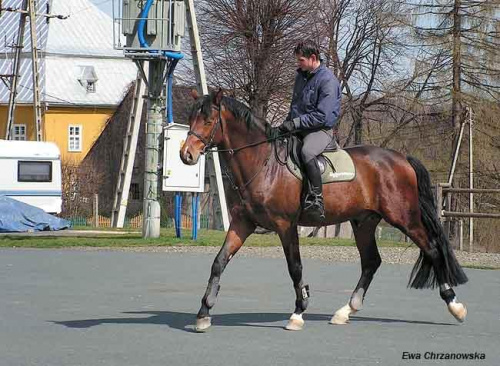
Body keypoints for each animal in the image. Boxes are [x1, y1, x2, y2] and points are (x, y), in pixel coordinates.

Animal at [180, 89, 468, 332]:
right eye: (191, 118)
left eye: (208, 121)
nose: (186, 155)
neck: (264, 164)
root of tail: (401, 158)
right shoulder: (242, 223)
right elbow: (219, 262)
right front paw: (203, 313)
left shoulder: (285, 226)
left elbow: (295, 268)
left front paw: (298, 313)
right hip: (364, 222)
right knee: (371, 262)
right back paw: (345, 311)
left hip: (404, 218)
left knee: (432, 249)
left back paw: (455, 306)